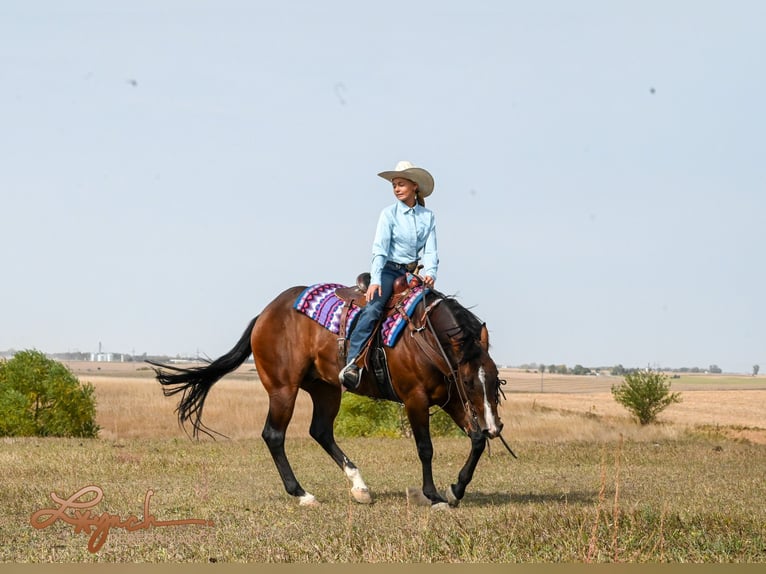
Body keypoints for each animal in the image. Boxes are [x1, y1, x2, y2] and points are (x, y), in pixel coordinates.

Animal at [148, 280, 510, 508]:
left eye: (495, 380)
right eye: (468, 381)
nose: (497, 428)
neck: (426, 336)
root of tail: (265, 313)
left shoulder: (450, 400)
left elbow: (477, 440)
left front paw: (456, 489)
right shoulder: (416, 399)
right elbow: (425, 448)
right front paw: (433, 496)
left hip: (326, 389)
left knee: (320, 431)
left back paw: (360, 487)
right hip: (283, 389)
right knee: (274, 435)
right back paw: (302, 494)